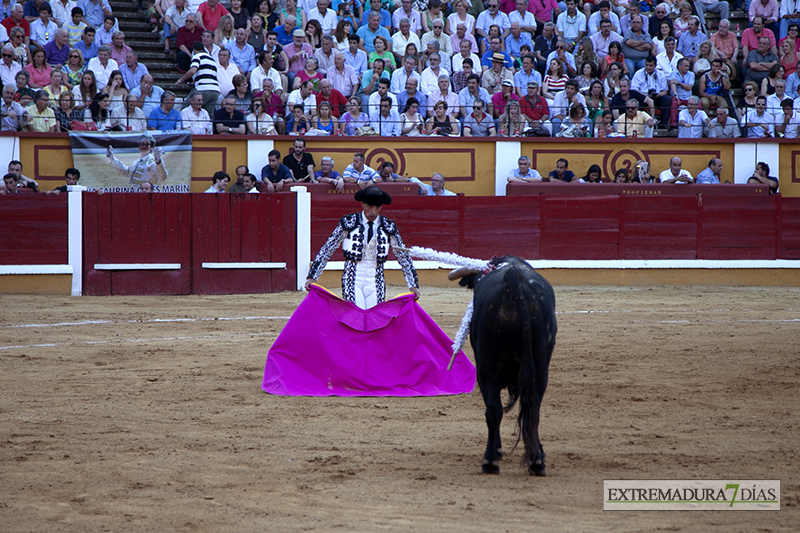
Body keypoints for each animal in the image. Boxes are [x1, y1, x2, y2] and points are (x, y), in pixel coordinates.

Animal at [450, 255, 556, 474]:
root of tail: (513, 279)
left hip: (488, 369)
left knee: (497, 409)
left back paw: (492, 460)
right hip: (537, 369)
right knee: (528, 410)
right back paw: (533, 461)